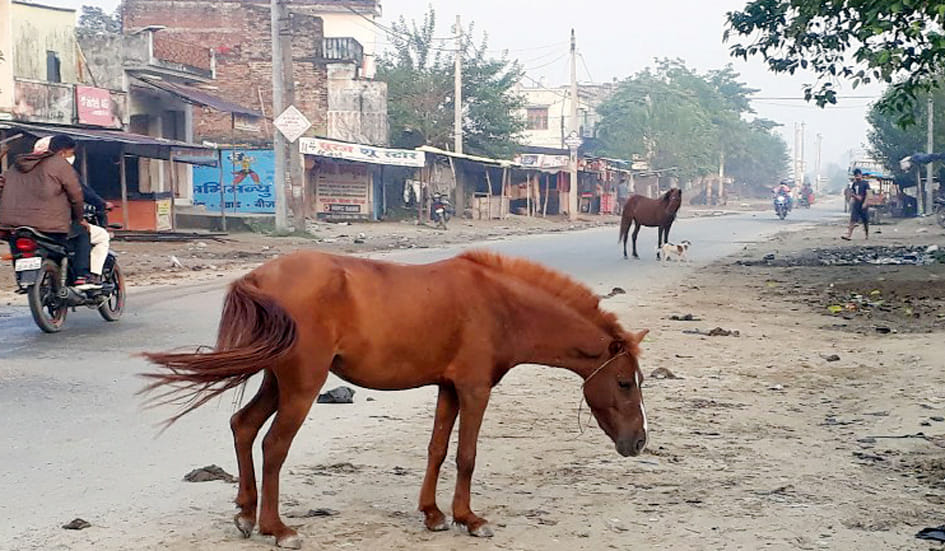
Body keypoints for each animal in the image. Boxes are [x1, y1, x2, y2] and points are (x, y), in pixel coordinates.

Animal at [141, 250, 650, 549]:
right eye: (626, 383)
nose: (640, 442)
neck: (501, 304)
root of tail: (260, 278)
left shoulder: (449, 387)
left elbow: (438, 450)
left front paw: (434, 514)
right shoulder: (475, 389)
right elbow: (466, 455)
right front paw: (469, 518)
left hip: (276, 381)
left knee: (244, 427)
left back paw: (247, 514)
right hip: (302, 386)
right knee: (273, 446)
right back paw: (276, 528)